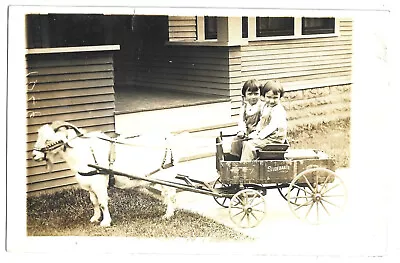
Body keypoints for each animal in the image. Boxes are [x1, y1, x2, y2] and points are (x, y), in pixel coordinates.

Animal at [31, 121, 189, 227]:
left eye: (48, 139)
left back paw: (168, 215)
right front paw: (94, 218)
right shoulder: (90, 185)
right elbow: (94, 202)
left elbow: (102, 203)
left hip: (167, 177)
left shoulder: (99, 184)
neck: (84, 151)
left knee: (172, 196)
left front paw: (105, 222)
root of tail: (170, 140)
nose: (34, 155)